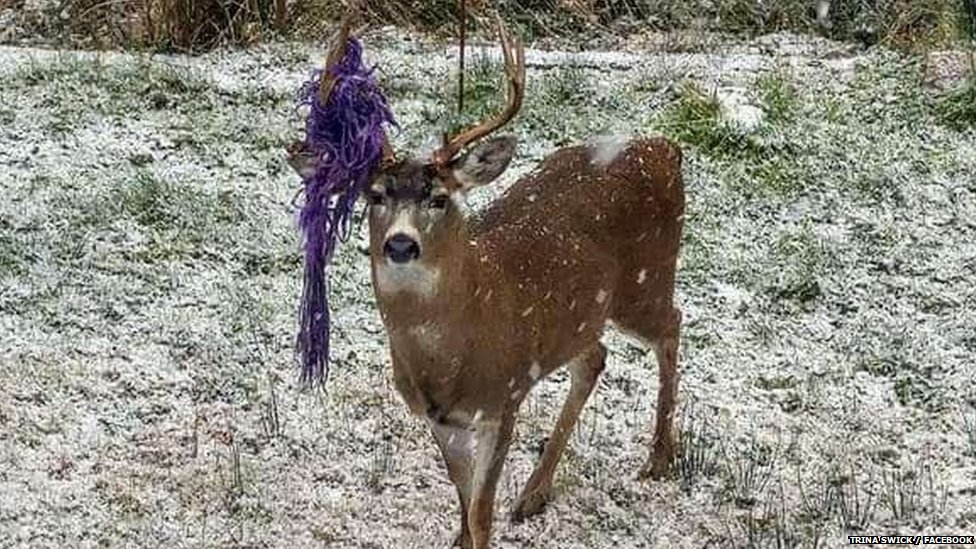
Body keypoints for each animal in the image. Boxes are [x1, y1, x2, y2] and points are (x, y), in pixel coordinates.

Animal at [288, 17, 688, 548]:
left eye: (438, 198)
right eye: (374, 195)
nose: (400, 244)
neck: (451, 356)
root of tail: (665, 148)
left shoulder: (504, 398)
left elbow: (481, 513)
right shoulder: (441, 418)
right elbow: (463, 502)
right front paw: (458, 538)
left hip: (646, 280)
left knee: (671, 326)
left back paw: (659, 458)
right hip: (583, 314)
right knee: (595, 358)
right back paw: (534, 493)